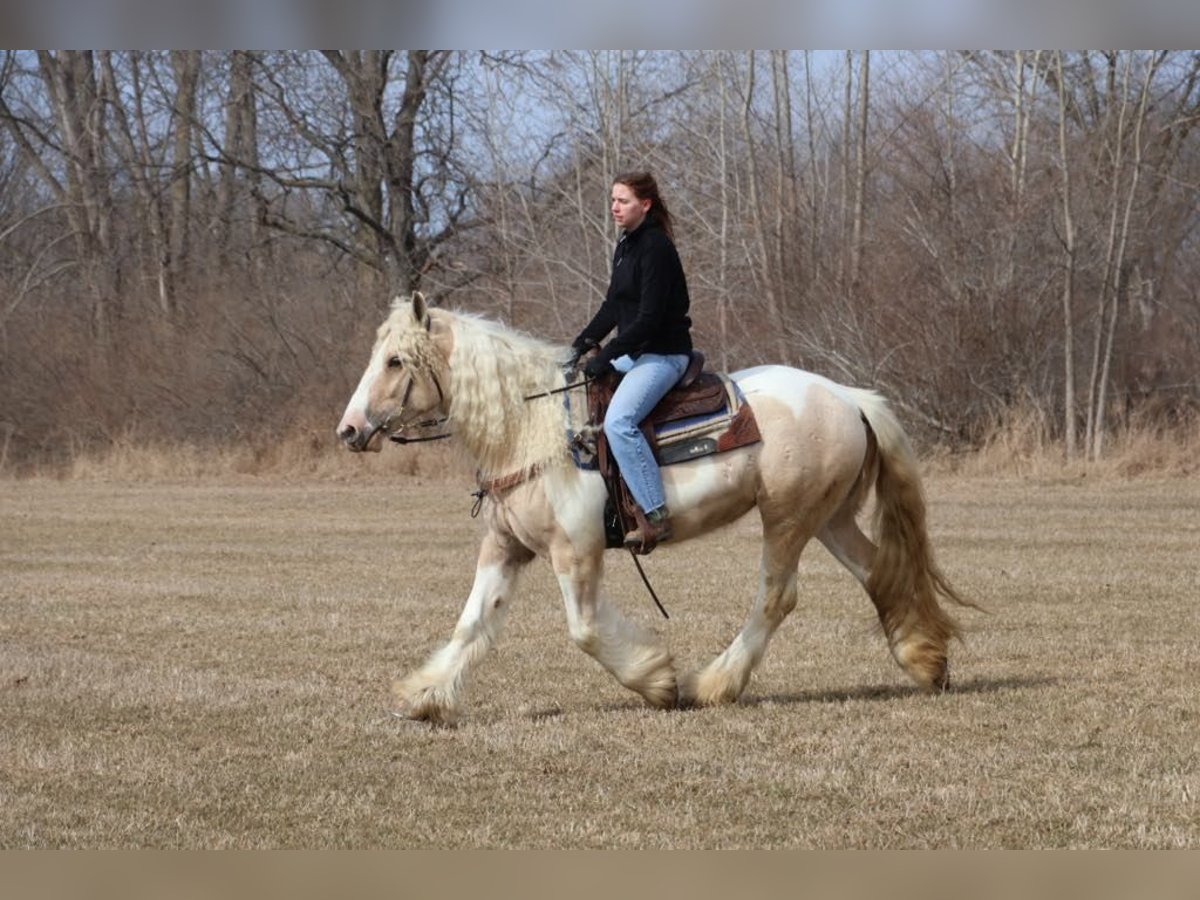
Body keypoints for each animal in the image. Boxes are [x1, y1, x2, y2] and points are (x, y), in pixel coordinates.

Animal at [337, 292, 973, 724]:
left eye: (395, 362)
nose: (348, 430)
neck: (531, 425)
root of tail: (847, 396)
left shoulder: (576, 552)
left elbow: (586, 630)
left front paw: (658, 682)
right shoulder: (505, 547)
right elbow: (473, 622)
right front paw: (423, 695)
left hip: (788, 519)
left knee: (776, 597)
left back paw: (715, 684)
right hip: (830, 518)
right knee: (879, 571)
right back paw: (925, 662)